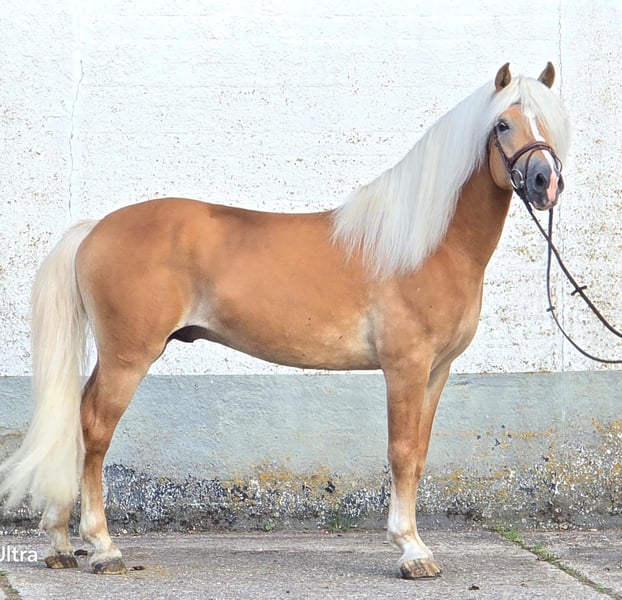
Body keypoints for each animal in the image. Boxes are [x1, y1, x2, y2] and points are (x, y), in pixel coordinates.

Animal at [0, 62, 570, 579]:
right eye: (503, 124)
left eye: (552, 120)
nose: (545, 182)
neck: (425, 243)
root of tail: (95, 228)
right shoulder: (405, 368)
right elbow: (402, 453)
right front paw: (411, 551)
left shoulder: (437, 371)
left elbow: (420, 453)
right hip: (128, 357)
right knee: (94, 430)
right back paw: (102, 547)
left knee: (75, 421)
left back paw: (59, 542)